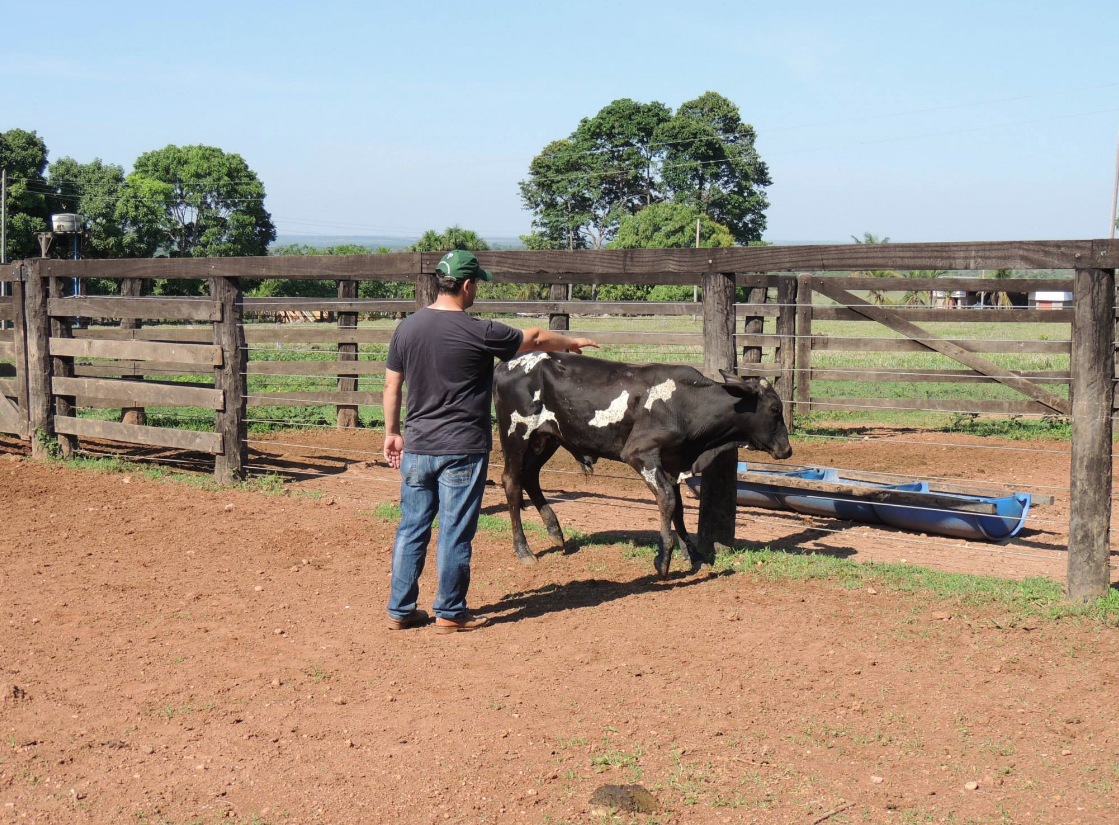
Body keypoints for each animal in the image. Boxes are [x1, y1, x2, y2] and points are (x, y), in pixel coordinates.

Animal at [494, 351, 792, 577]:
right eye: (775, 409)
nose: (787, 450)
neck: (684, 403)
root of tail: (505, 365)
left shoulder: (672, 462)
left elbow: (678, 508)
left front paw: (693, 554)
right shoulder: (641, 455)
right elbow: (667, 500)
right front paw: (664, 558)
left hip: (547, 438)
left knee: (530, 476)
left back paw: (555, 531)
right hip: (516, 435)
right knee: (512, 482)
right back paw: (524, 550)